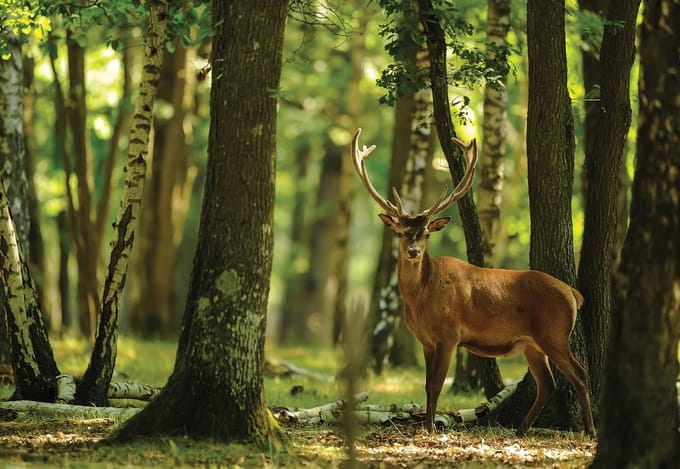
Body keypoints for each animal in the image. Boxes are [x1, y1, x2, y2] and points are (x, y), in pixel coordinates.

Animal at [351, 128, 596, 437]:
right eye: (401, 232)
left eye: (426, 233)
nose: (413, 252)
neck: (421, 298)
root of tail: (574, 293)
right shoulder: (426, 341)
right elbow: (427, 386)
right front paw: (427, 426)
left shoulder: (449, 334)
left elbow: (435, 385)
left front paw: (431, 428)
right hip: (532, 344)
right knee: (548, 383)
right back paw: (521, 429)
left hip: (554, 334)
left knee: (580, 374)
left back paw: (590, 430)